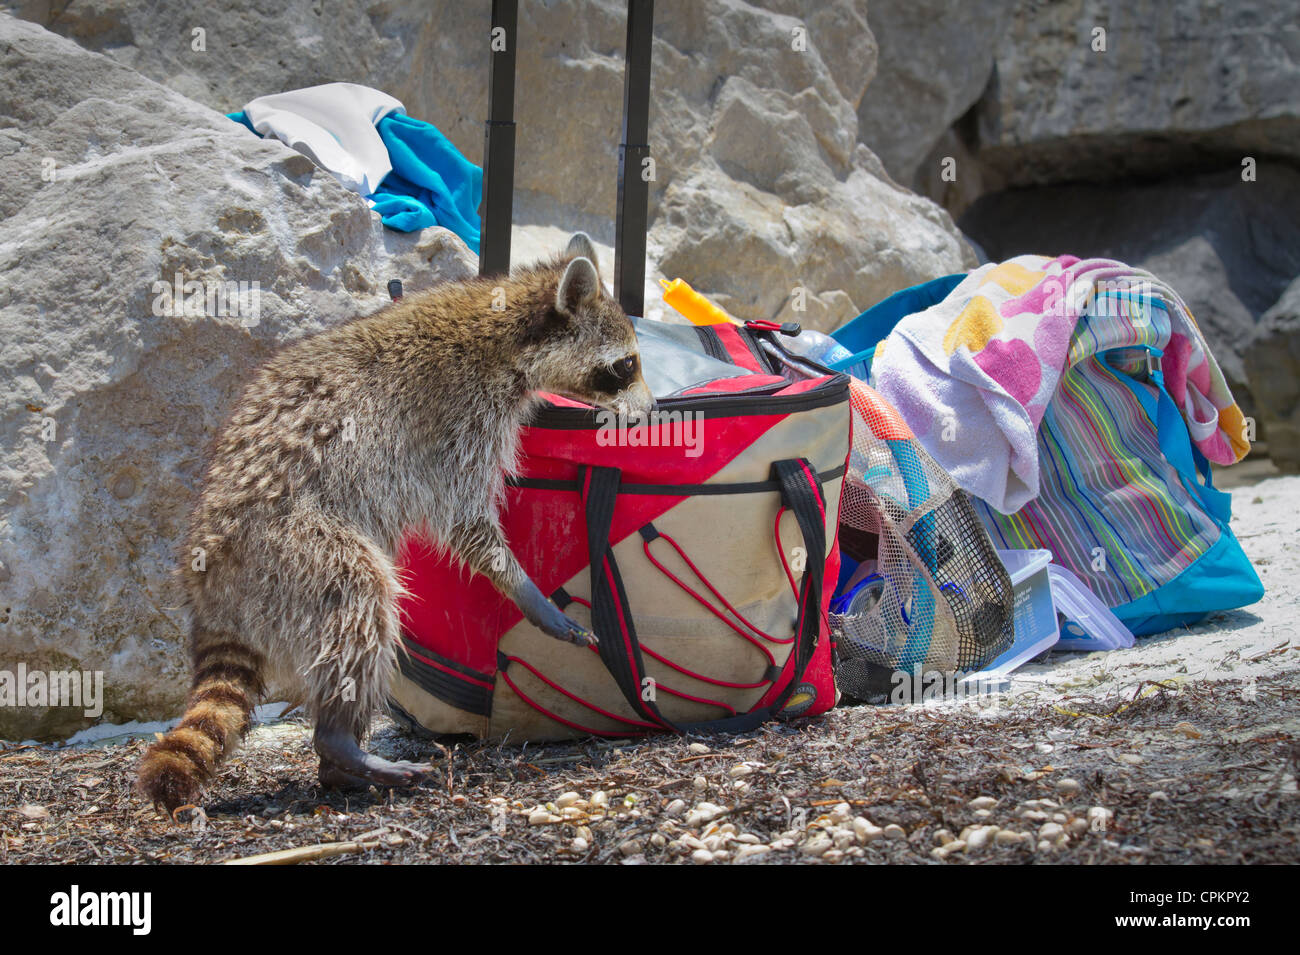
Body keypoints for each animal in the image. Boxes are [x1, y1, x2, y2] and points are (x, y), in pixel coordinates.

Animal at [137, 233, 654, 813]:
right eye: (625, 365)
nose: (654, 410)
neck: (506, 331)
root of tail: (209, 582)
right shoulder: (458, 419)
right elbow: (464, 520)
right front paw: (521, 586)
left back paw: (338, 763)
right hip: (289, 549)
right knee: (358, 595)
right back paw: (339, 739)